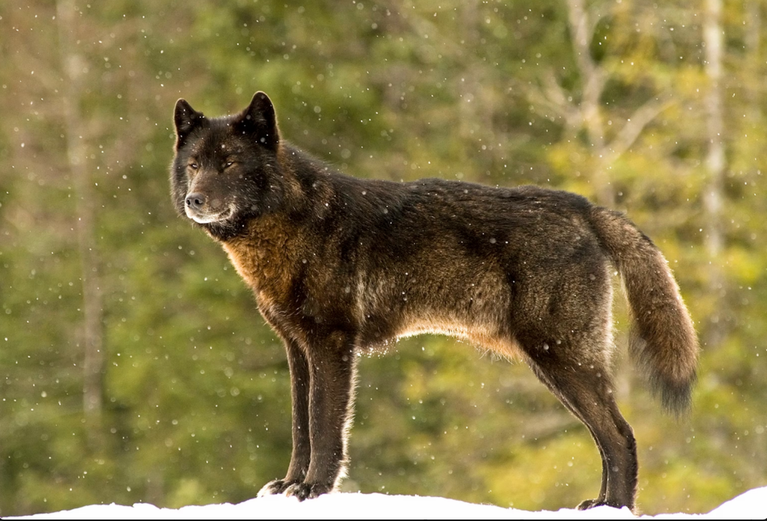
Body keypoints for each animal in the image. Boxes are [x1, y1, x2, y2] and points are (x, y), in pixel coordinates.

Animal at [169, 91, 698, 511]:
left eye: (230, 163)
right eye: (194, 165)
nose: (194, 200)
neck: (292, 224)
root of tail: (583, 207)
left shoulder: (332, 345)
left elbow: (323, 426)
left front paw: (314, 489)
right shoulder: (297, 350)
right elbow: (301, 427)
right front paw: (288, 487)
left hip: (559, 359)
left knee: (620, 436)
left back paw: (614, 508)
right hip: (555, 365)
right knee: (610, 438)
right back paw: (599, 505)